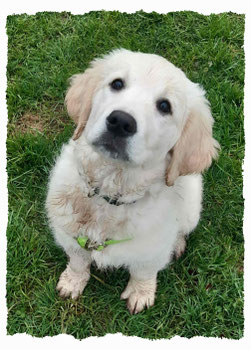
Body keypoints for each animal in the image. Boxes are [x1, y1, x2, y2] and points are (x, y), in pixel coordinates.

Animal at [45, 47, 220, 314]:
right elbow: (78, 260)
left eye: (165, 106)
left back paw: (177, 244)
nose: (120, 121)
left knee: (183, 229)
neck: (110, 192)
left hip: (192, 206)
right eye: (117, 84)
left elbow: (144, 271)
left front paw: (140, 294)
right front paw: (72, 282)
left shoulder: (151, 249)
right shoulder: (70, 233)